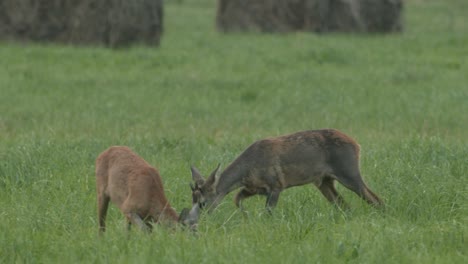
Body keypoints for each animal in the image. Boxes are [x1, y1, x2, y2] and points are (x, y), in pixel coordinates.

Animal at [191, 128, 384, 212]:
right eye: (192, 199)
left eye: (202, 203)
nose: (193, 221)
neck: (247, 170)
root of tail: (357, 144)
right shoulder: (253, 188)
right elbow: (237, 199)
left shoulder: (276, 184)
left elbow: (268, 212)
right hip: (324, 181)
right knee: (343, 205)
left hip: (348, 171)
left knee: (375, 198)